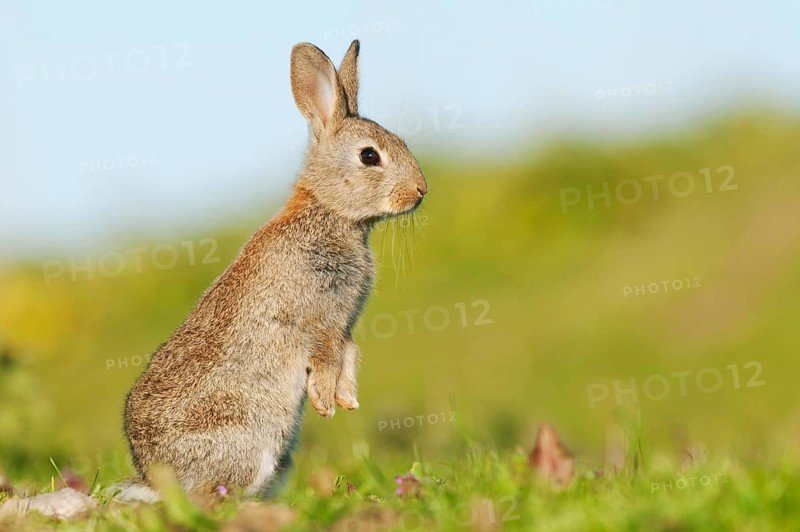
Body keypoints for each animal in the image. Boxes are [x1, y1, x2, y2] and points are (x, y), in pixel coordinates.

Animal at [119, 39, 428, 500]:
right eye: (370, 156)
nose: (421, 190)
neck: (329, 211)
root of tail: (155, 479)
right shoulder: (315, 322)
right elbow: (325, 358)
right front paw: (325, 403)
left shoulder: (343, 328)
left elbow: (350, 354)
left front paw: (347, 400)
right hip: (250, 444)